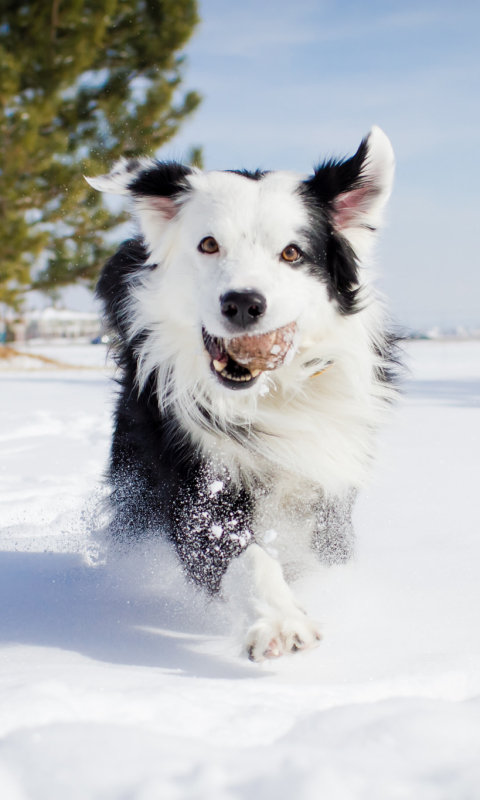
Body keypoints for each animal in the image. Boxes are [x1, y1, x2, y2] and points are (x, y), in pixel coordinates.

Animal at [86, 125, 398, 664]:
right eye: (208, 244)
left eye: (292, 253)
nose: (243, 303)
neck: (268, 396)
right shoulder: (193, 479)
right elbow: (242, 554)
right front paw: (279, 619)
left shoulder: (327, 484)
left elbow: (323, 555)